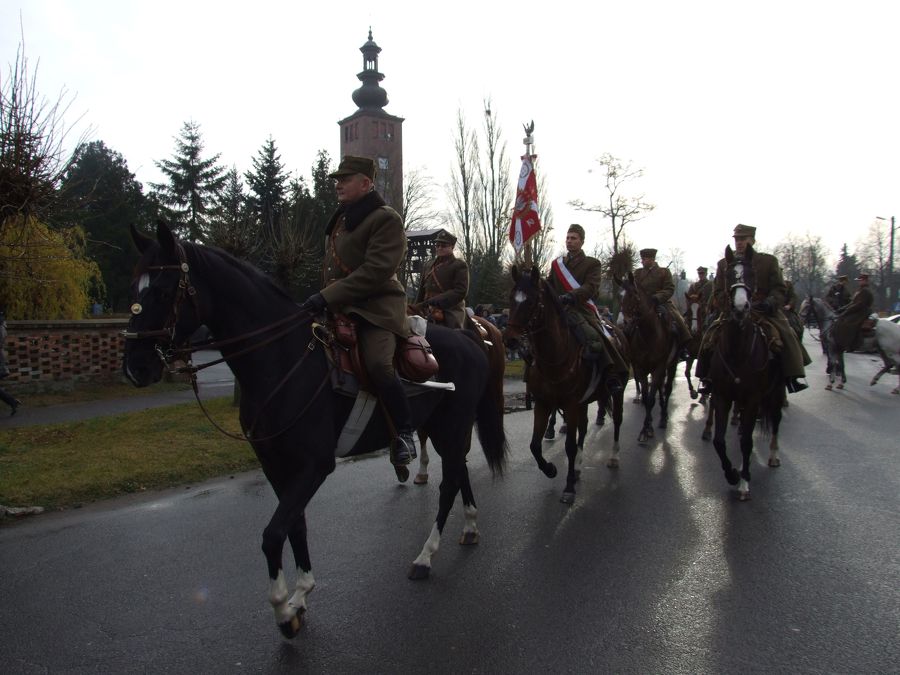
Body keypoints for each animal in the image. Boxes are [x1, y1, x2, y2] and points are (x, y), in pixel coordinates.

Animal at [502, 265, 628, 504]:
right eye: (511, 299)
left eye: (532, 301)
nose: (510, 340)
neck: (554, 357)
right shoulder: (543, 404)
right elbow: (534, 445)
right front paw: (550, 469)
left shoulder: (569, 404)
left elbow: (569, 445)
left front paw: (568, 487)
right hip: (583, 402)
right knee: (584, 427)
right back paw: (578, 467)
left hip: (617, 392)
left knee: (617, 421)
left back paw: (615, 457)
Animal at [616, 272, 678, 444]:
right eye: (619, 296)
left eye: (634, 294)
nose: (622, 323)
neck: (649, 335)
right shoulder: (641, 367)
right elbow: (645, 397)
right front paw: (647, 426)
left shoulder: (659, 367)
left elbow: (650, 398)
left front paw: (646, 429)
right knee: (660, 390)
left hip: (671, 365)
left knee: (667, 389)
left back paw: (663, 417)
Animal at [707, 246, 784, 500]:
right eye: (729, 274)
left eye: (752, 274)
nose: (741, 308)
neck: (738, 351)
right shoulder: (722, 396)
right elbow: (719, 441)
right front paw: (731, 473)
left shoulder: (752, 399)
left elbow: (747, 442)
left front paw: (744, 482)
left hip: (775, 393)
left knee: (775, 421)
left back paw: (772, 455)